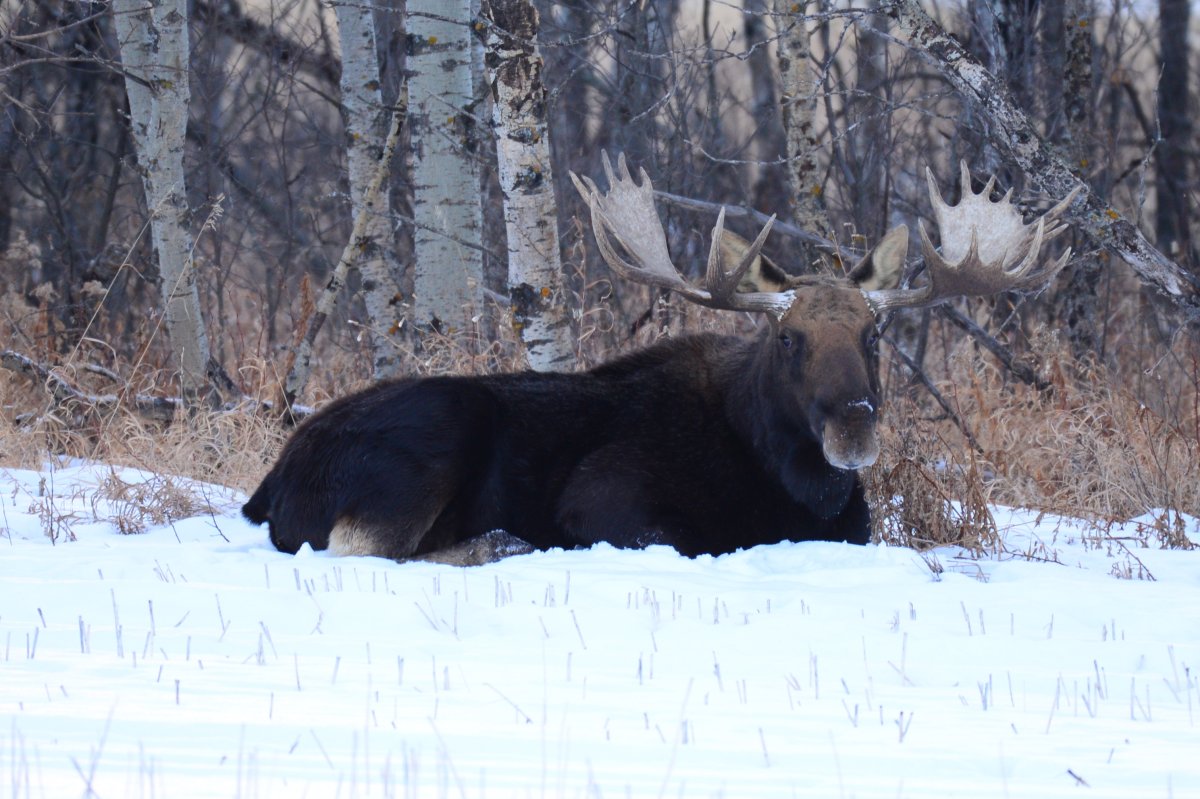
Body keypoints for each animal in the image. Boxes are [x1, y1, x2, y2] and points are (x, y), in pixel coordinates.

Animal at [243, 151, 1080, 559]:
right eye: (788, 338)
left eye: (874, 334)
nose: (854, 425)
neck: (795, 484)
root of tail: (271, 481)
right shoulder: (603, 503)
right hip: (434, 436)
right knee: (367, 550)